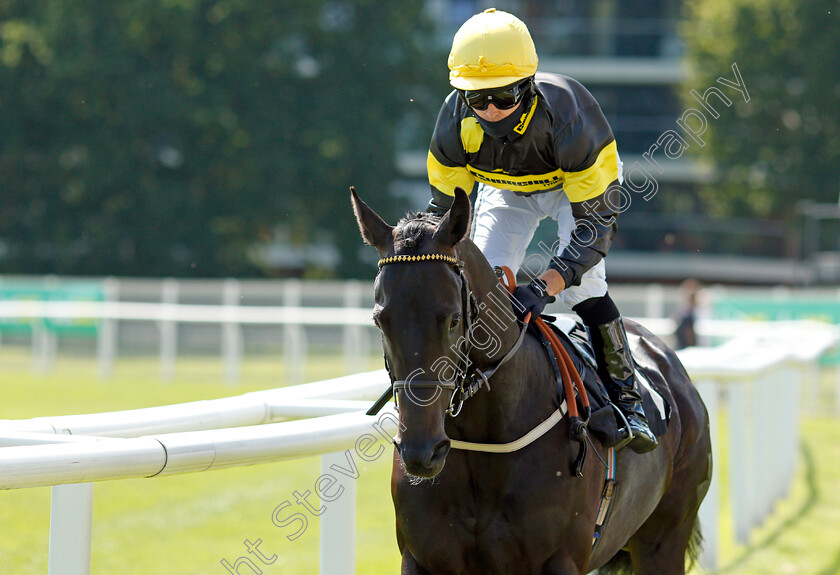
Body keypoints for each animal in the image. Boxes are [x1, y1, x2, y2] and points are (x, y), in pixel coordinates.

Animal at [352, 188, 712, 575]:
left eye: (452, 319)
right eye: (380, 320)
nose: (421, 451)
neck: (485, 440)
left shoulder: (562, 561)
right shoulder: (420, 560)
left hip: (664, 538)